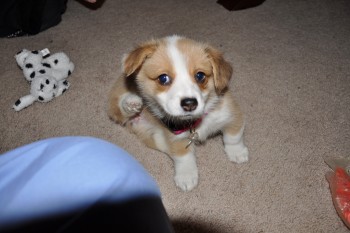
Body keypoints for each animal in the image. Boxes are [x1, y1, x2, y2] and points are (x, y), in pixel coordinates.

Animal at [108, 35, 247, 191]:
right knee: (117, 109)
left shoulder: (231, 115)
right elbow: (184, 158)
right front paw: (186, 176)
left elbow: (233, 137)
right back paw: (131, 102)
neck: (195, 124)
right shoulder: (176, 138)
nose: (189, 103)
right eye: (163, 78)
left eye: (200, 76)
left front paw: (237, 153)